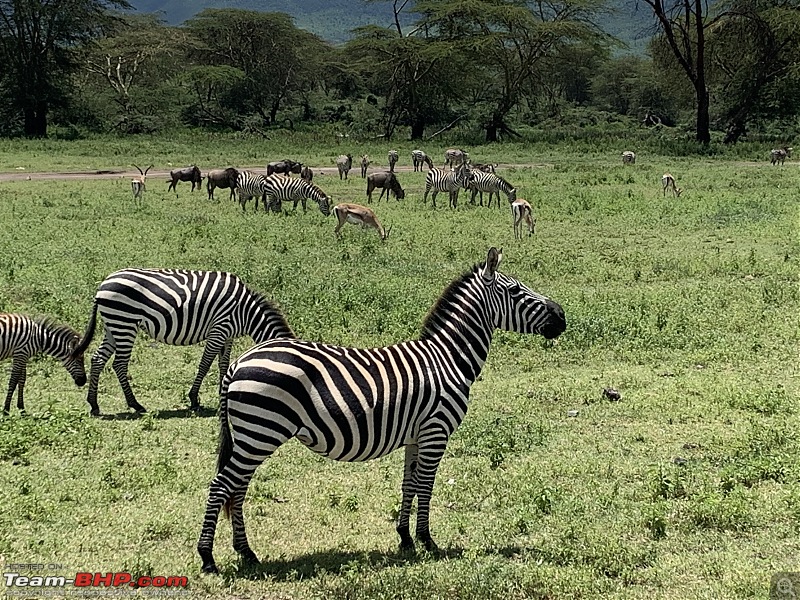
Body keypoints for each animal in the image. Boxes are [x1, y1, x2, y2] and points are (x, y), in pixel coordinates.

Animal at [72, 270, 294, 414]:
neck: (246, 313)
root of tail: (102, 285)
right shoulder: (219, 329)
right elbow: (205, 364)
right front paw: (194, 399)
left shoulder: (227, 334)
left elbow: (223, 364)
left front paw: (223, 391)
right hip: (124, 323)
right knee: (119, 364)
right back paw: (135, 404)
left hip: (113, 326)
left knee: (98, 359)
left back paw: (94, 404)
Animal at [196, 247, 564, 572]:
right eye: (516, 290)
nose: (561, 316)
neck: (447, 358)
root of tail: (239, 361)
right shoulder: (436, 431)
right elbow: (426, 486)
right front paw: (427, 540)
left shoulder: (416, 435)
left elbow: (409, 485)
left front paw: (405, 538)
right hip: (260, 432)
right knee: (221, 487)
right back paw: (208, 558)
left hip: (251, 437)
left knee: (237, 489)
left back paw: (247, 553)